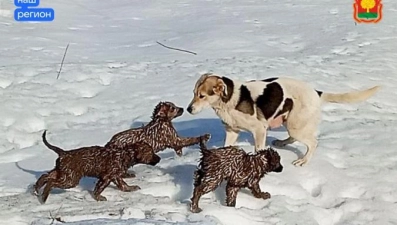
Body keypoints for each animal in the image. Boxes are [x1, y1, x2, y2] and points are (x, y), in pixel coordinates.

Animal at [187, 73, 378, 166]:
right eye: (193, 93)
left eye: (202, 96)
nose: (189, 109)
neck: (228, 100)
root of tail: (316, 92)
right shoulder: (232, 131)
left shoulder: (259, 130)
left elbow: (258, 150)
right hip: (290, 121)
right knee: (294, 138)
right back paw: (282, 142)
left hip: (295, 125)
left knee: (313, 143)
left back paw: (303, 161)